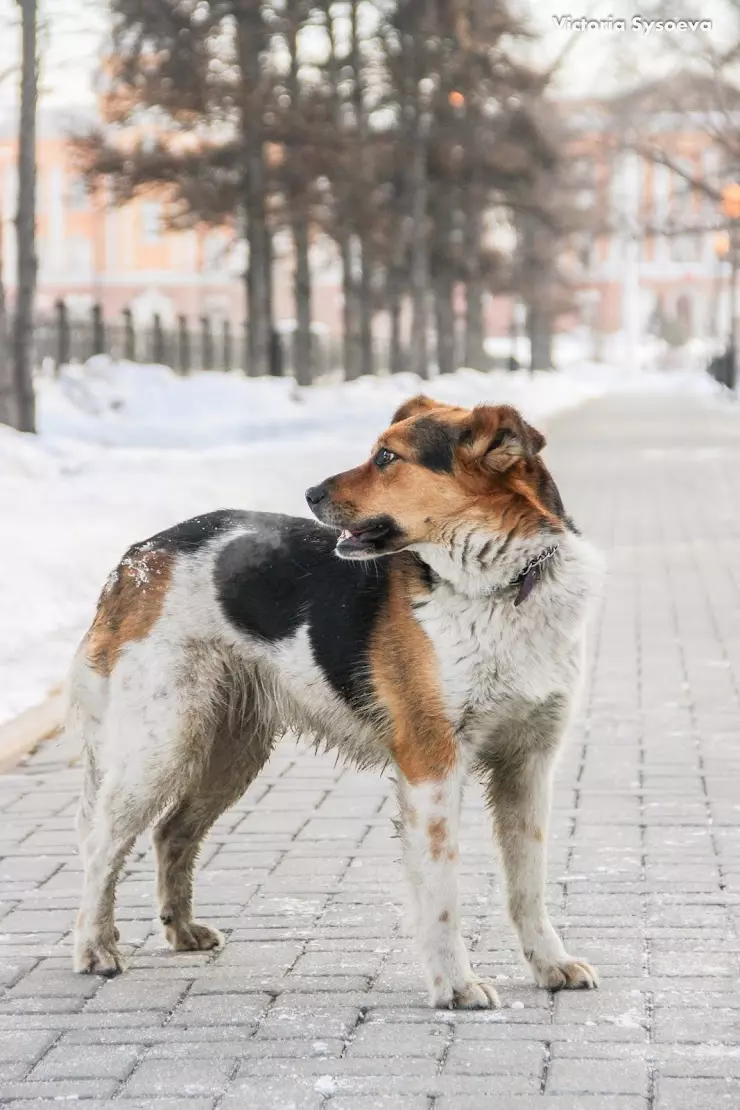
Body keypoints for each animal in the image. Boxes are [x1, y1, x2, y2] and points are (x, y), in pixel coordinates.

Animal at [69, 392, 603, 1007]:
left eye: (387, 458)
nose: (310, 493)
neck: (502, 587)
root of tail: (139, 555)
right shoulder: (432, 763)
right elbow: (442, 889)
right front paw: (454, 985)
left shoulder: (529, 764)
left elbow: (528, 884)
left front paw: (549, 965)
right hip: (162, 744)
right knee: (102, 843)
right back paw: (94, 948)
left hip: (232, 751)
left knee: (170, 832)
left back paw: (181, 932)